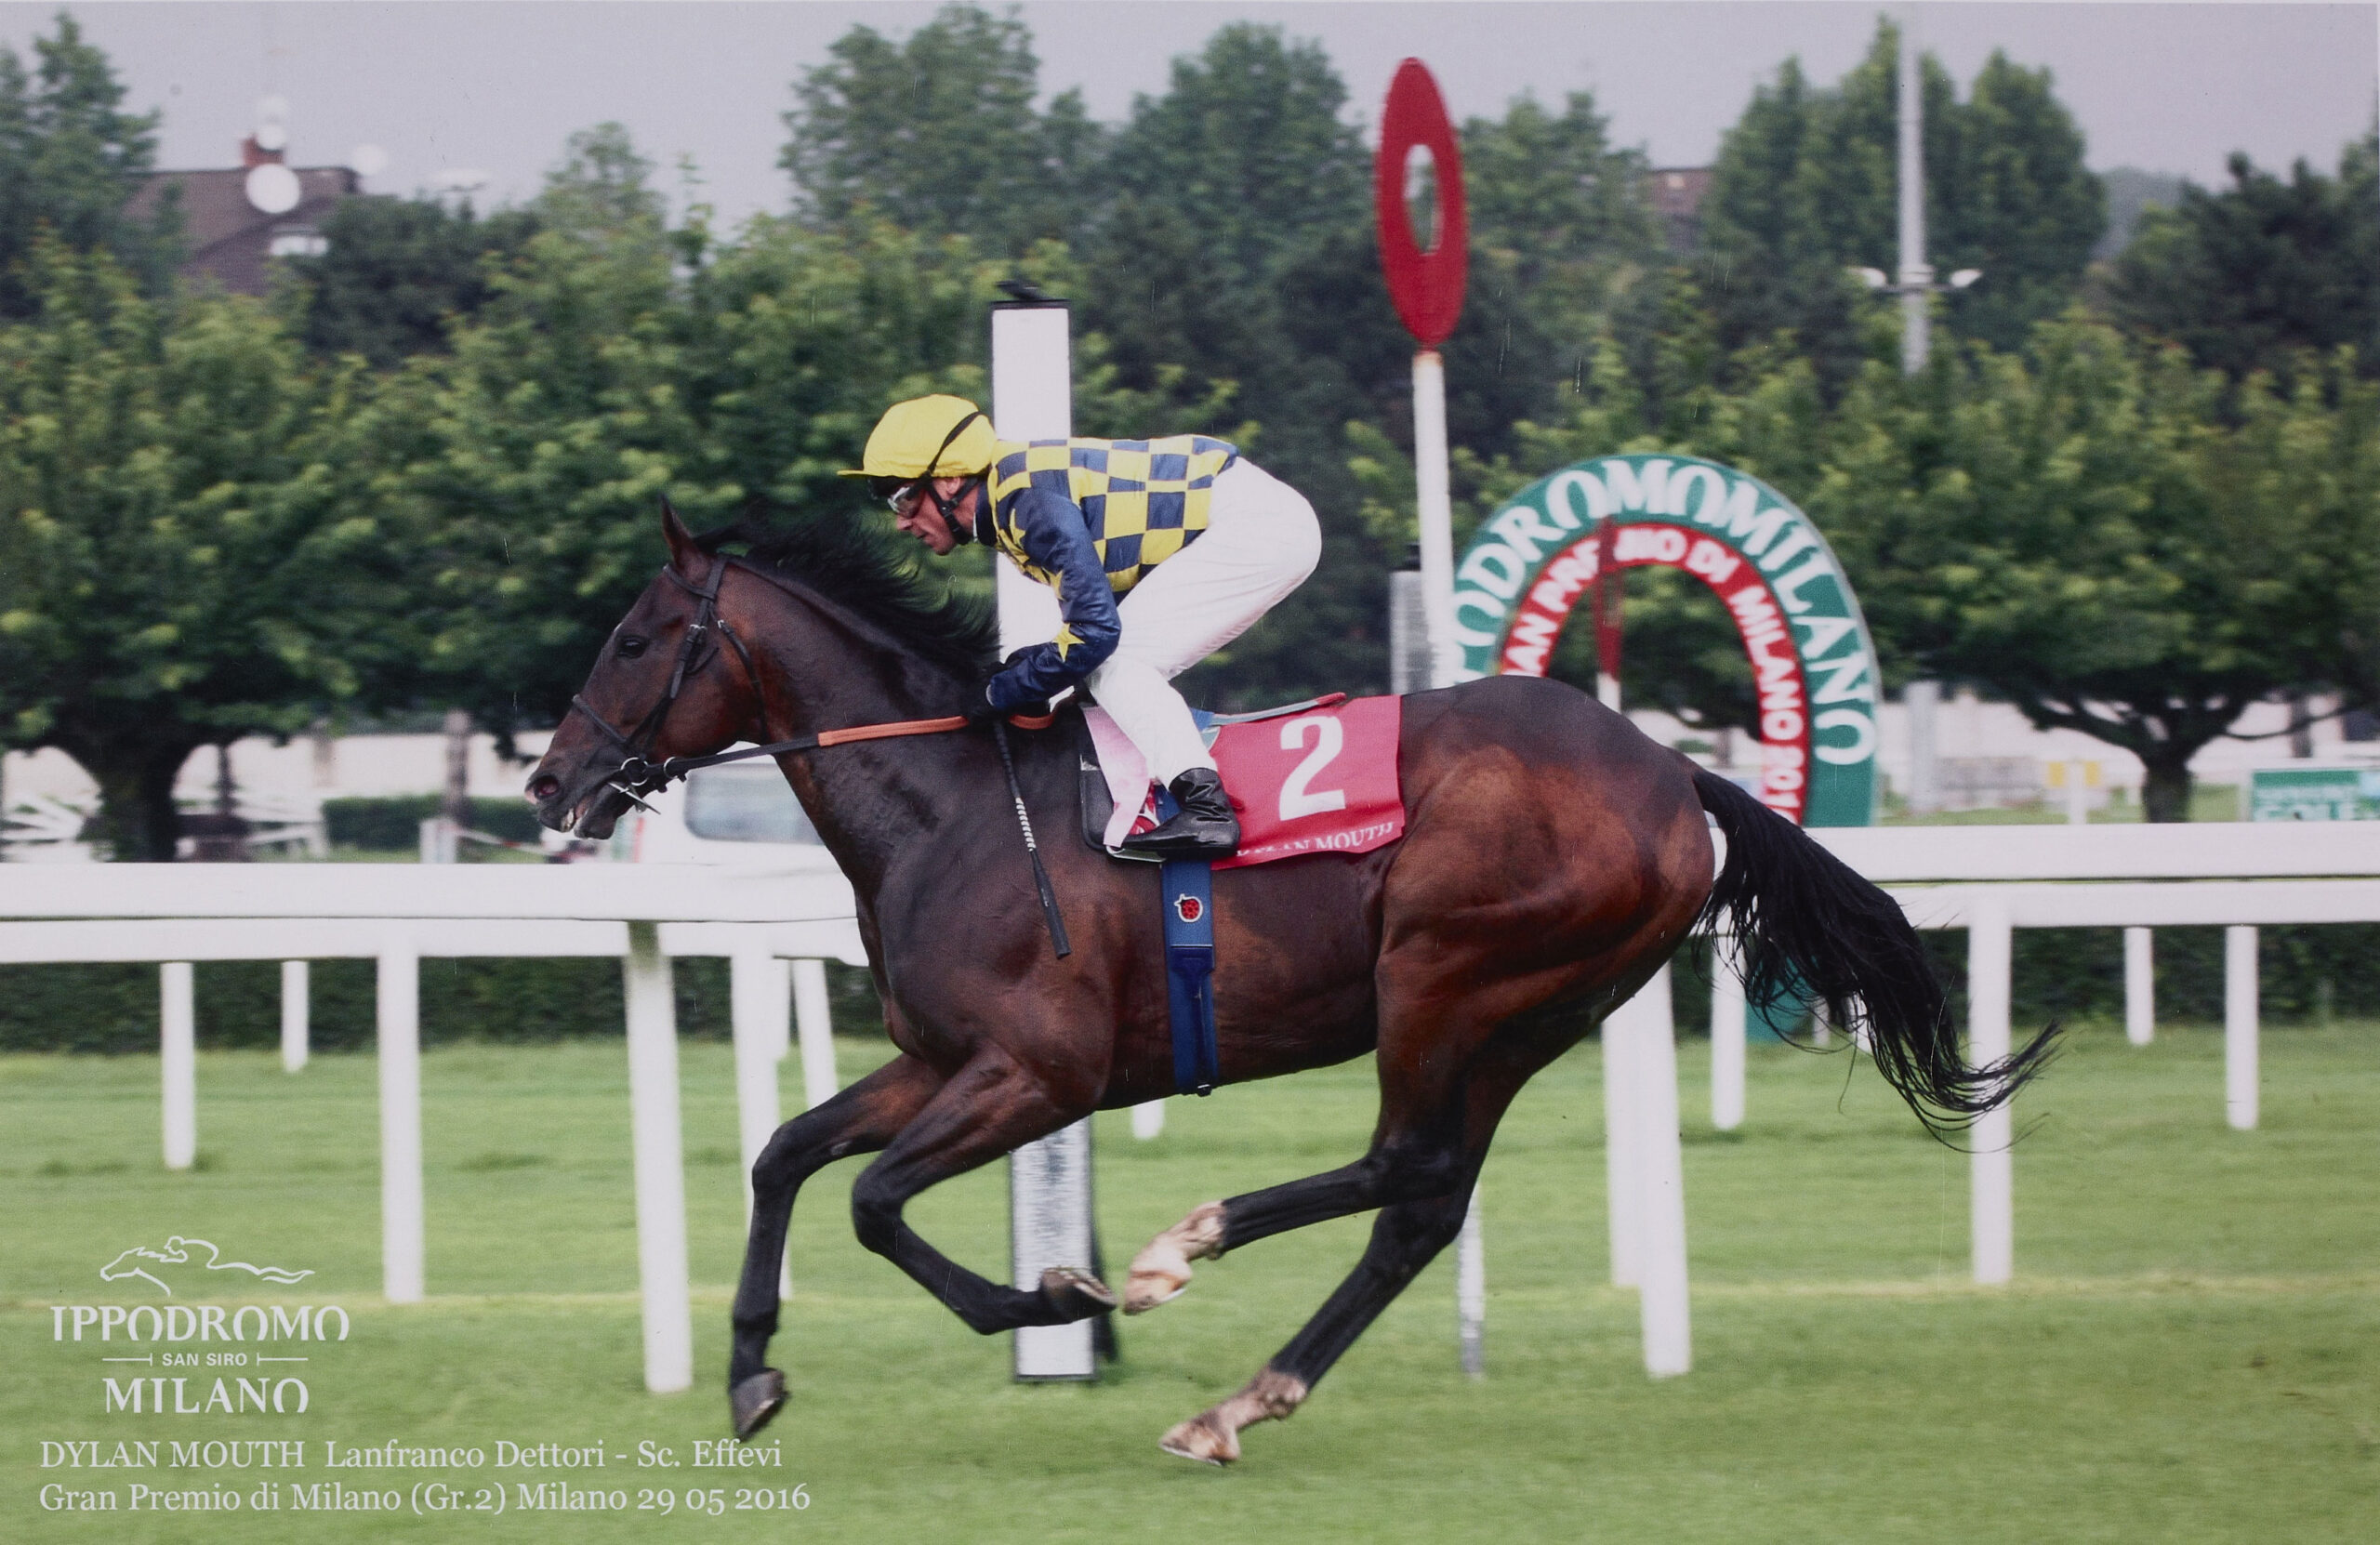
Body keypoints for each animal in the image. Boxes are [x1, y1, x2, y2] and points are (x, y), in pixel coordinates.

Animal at [530, 511, 2056, 1466]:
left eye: (631, 638)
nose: (550, 780)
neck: (950, 801)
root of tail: (1675, 771)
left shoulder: (1040, 1072)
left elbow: (874, 1200)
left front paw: (1062, 1300)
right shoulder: (941, 1058)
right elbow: (789, 1154)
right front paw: (749, 1369)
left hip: (1448, 972)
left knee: (1401, 1161)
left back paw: (1183, 1247)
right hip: (1536, 1011)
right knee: (1425, 1203)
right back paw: (1237, 1401)